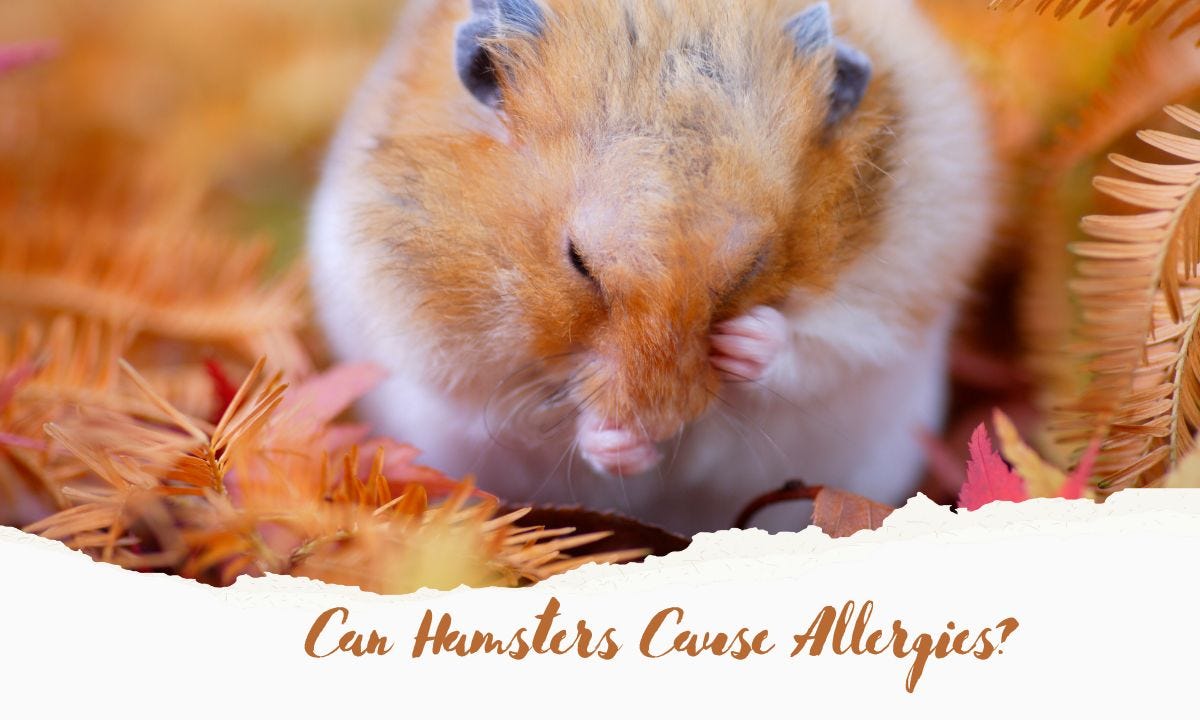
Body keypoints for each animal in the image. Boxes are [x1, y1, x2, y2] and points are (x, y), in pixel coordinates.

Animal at [308, 0, 995, 536]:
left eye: (752, 266)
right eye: (578, 262)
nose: (661, 421)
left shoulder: (887, 300)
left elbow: (816, 351)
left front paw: (747, 342)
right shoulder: (446, 354)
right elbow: (530, 416)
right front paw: (619, 443)